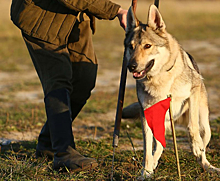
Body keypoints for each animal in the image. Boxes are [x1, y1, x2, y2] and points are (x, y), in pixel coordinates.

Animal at [123, 4, 219, 179]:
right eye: (131, 47)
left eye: (147, 46)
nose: (131, 66)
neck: (159, 78)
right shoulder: (146, 114)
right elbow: (147, 149)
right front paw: (145, 173)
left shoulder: (193, 91)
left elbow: (192, 127)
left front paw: (195, 146)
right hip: (159, 124)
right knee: (159, 147)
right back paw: (152, 166)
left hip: (205, 125)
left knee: (202, 149)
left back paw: (209, 166)